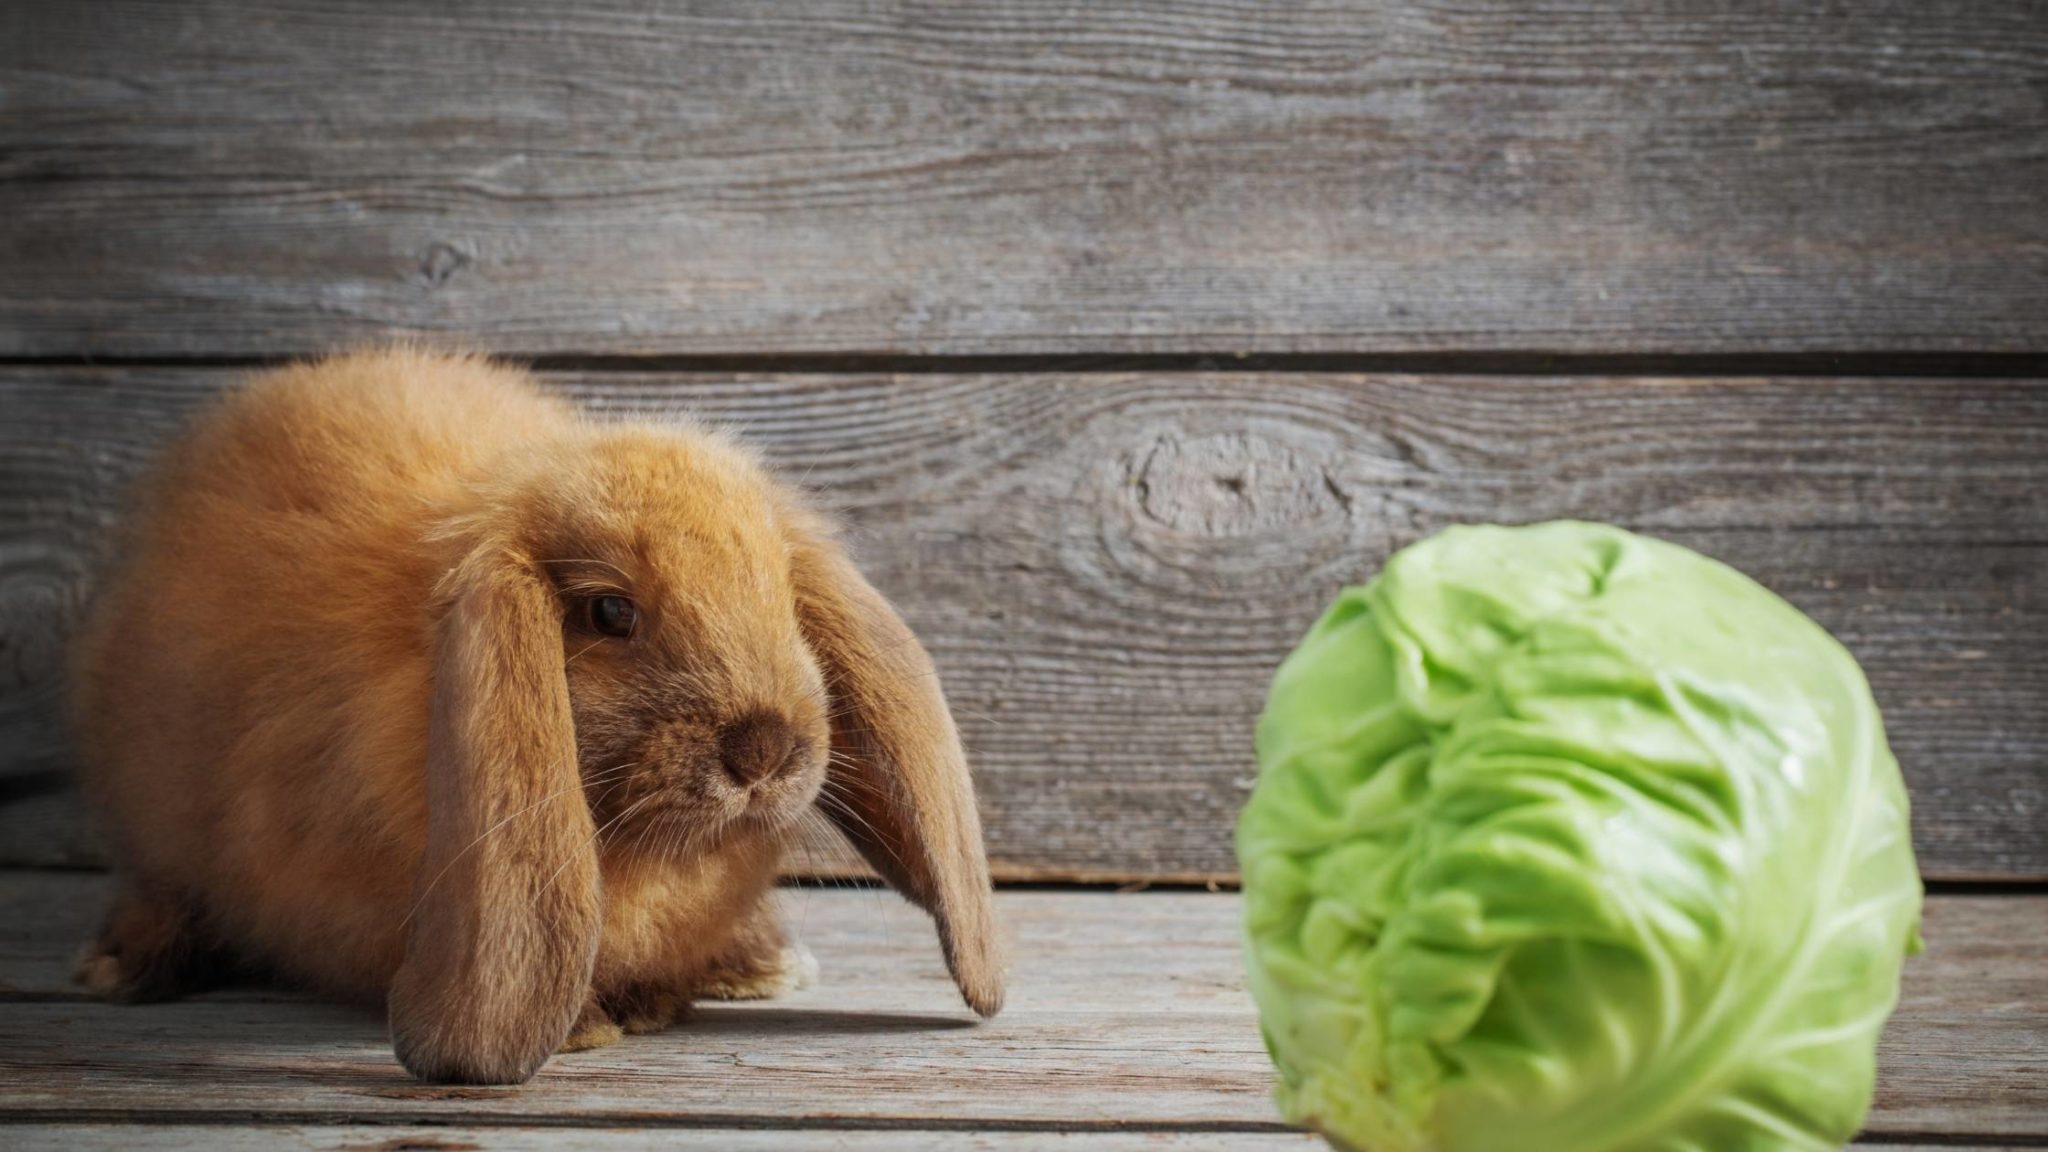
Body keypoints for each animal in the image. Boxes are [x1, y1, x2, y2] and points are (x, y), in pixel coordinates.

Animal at [68, 346, 1003, 1084]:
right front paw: (588, 1028)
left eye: (781, 596)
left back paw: (762, 963)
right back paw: (117, 967)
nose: (766, 747)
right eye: (610, 612)